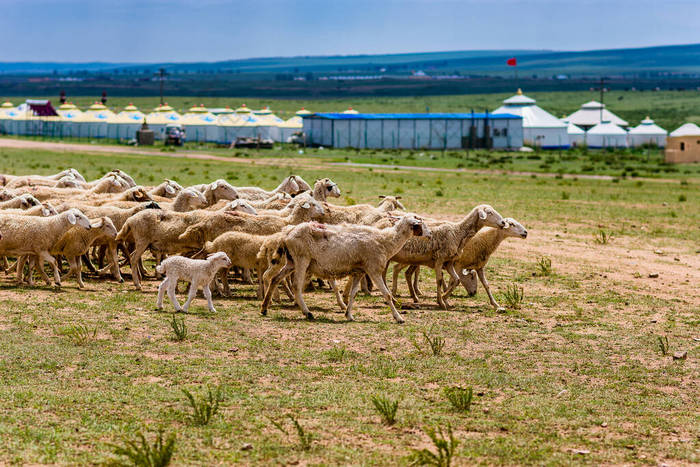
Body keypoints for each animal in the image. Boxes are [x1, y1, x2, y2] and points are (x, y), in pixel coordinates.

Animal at [260, 216, 430, 322]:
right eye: (420, 224)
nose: (429, 235)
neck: (386, 241)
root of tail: (287, 232)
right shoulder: (373, 269)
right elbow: (387, 294)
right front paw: (399, 318)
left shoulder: (359, 272)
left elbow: (353, 294)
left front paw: (348, 315)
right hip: (302, 259)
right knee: (296, 285)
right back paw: (307, 313)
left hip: (291, 261)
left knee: (275, 279)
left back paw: (264, 308)